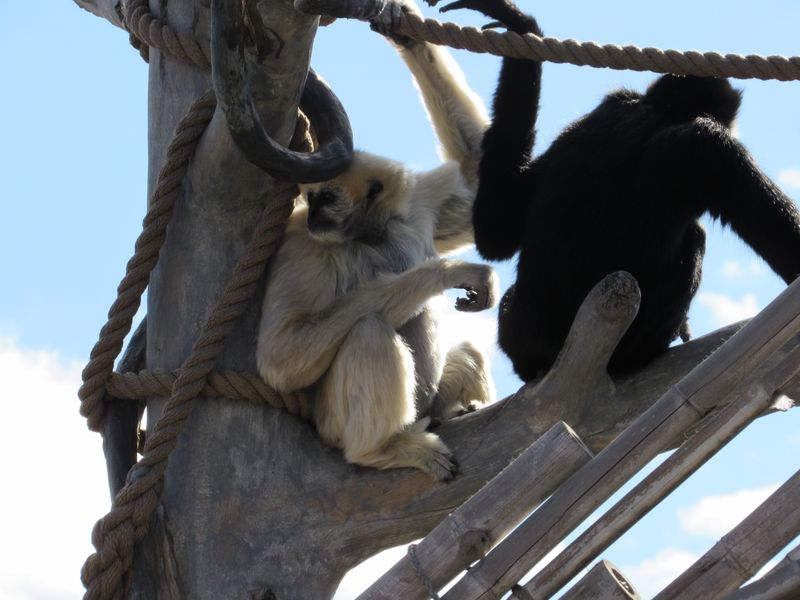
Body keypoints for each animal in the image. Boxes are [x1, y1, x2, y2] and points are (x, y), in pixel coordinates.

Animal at [256, 0, 497, 480]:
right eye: (310, 199)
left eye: (327, 199)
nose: (314, 216)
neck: (372, 234)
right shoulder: (304, 245)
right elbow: (282, 357)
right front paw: (448, 272)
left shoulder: (417, 207)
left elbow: (477, 176)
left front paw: (403, 29)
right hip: (334, 422)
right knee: (369, 330)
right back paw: (379, 449)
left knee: (466, 352)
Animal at [438, 0, 800, 381]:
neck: (660, 114)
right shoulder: (711, 146)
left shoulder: (609, 104)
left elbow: (497, 234)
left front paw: (520, 27)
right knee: (695, 238)